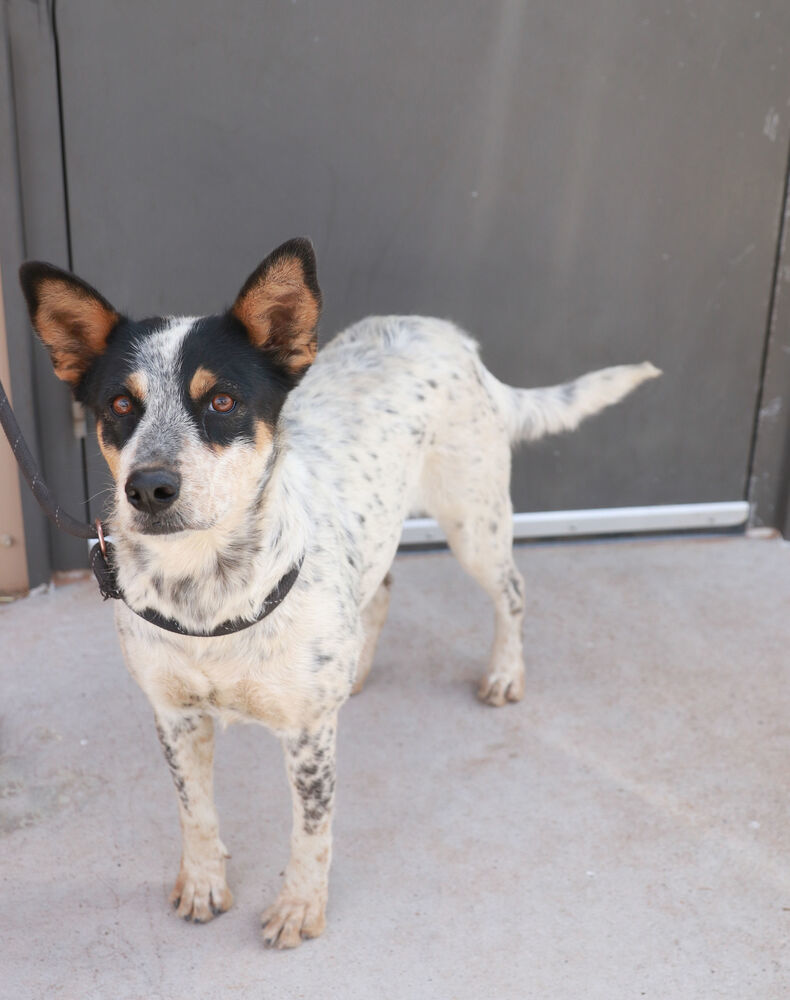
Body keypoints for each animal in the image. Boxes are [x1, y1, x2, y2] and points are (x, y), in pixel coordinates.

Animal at [20, 240, 664, 944]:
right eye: (118, 405)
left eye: (222, 402)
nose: (148, 489)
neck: (205, 586)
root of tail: (450, 335)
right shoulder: (174, 715)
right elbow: (196, 812)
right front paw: (204, 882)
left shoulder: (307, 735)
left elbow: (311, 832)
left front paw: (301, 908)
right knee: (379, 588)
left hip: (475, 522)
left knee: (512, 590)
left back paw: (504, 673)